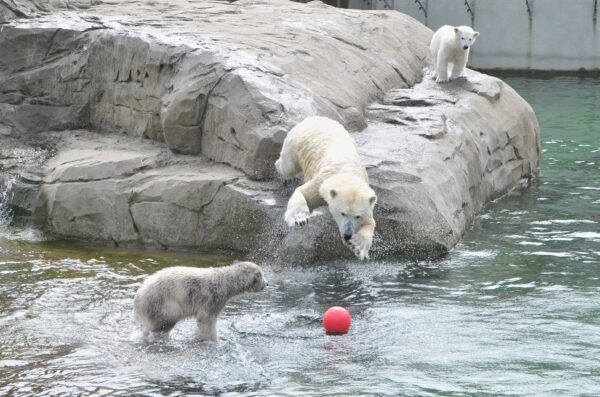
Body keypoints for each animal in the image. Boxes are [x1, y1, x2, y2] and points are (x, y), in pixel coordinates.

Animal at [136, 260, 270, 340]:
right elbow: (206, 320)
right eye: (261, 276)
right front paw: (215, 339)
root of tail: (139, 296)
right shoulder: (212, 299)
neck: (225, 283)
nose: (267, 284)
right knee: (165, 322)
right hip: (163, 302)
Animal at [276, 116, 378, 258]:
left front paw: (357, 245)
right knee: (288, 166)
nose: (347, 235)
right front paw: (300, 218)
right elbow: (304, 193)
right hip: (294, 142)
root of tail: (315, 117)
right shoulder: (322, 182)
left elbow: (370, 223)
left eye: (358, 216)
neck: (347, 171)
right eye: (343, 213)